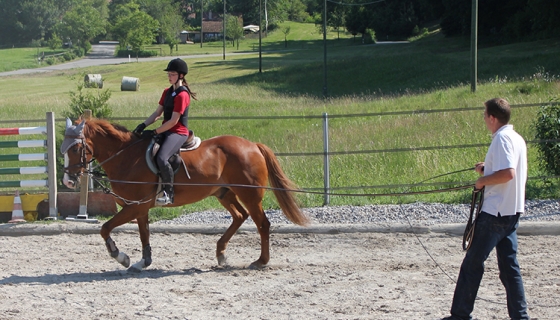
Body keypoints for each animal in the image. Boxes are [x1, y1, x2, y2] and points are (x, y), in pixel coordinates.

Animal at [61, 119, 310, 272]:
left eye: (75, 149)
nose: (68, 181)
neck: (125, 156)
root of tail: (253, 145)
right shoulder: (140, 207)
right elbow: (144, 235)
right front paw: (143, 262)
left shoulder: (135, 207)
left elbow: (105, 228)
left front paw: (120, 256)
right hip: (224, 193)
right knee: (240, 216)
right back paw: (221, 253)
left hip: (249, 195)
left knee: (262, 224)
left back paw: (261, 261)